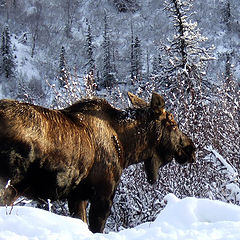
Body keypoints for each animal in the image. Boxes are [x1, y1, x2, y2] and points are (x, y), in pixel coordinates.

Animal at [0, 92, 195, 232]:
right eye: (173, 124)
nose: (191, 148)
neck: (126, 148)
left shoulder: (77, 196)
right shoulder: (103, 194)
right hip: (7, 185)